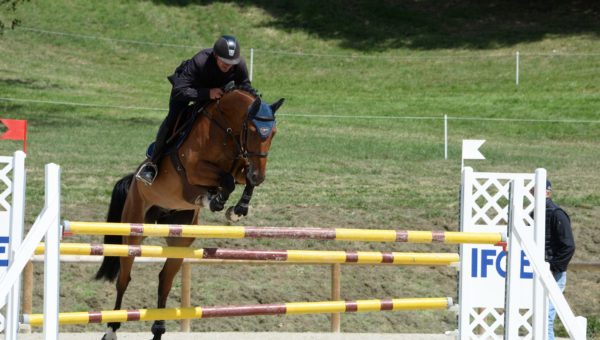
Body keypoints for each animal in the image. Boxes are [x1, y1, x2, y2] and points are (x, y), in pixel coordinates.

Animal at [95, 87, 284, 340]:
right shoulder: (195, 170)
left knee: (164, 280)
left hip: (179, 238)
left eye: (273, 133)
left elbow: (240, 179)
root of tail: (132, 181)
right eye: (253, 131)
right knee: (124, 278)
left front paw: (236, 209)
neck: (224, 129)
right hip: (134, 230)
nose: (260, 175)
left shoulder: (241, 164)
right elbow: (226, 180)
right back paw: (112, 329)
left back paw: (158, 330)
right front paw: (215, 200)